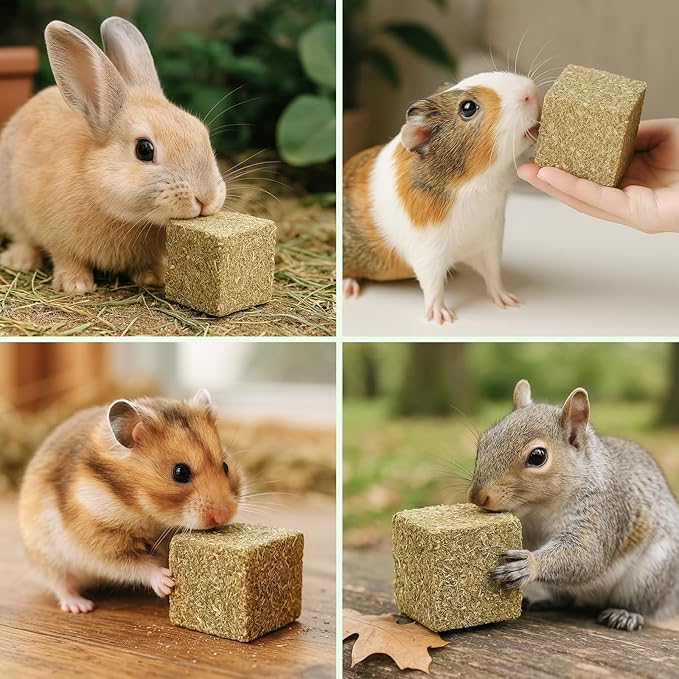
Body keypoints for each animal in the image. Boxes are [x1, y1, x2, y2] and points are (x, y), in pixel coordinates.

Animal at [0, 17, 226, 294]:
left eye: (202, 132)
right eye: (144, 149)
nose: (206, 197)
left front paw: (154, 276)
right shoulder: (55, 233)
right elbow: (66, 257)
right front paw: (76, 285)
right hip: (11, 208)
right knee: (22, 237)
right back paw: (20, 260)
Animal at [18, 389, 241, 613]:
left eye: (225, 466)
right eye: (180, 472)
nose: (224, 515)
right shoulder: (100, 540)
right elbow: (137, 565)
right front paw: (167, 583)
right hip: (46, 555)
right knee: (60, 584)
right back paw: (80, 606)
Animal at [343, 72, 540, 323]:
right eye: (468, 108)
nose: (530, 91)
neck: (473, 187)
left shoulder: (490, 240)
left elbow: (493, 274)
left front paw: (508, 302)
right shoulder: (428, 252)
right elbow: (433, 286)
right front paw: (442, 318)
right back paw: (350, 289)